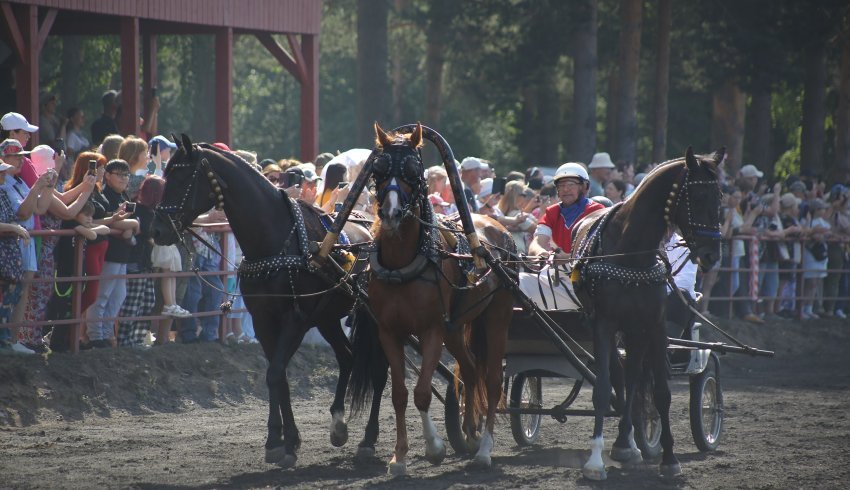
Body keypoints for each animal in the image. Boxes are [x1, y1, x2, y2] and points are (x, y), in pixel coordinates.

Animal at [150, 134, 384, 468]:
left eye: (182, 178)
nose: (157, 229)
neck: (275, 242)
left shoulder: (295, 320)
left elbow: (275, 373)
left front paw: (283, 441)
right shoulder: (263, 320)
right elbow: (277, 375)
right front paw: (281, 440)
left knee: (379, 372)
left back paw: (369, 438)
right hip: (327, 318)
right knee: (348, 357)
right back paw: (338, 425)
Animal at [344, 122, 516, 474]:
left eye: (413, 169)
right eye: (378, 169)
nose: (391, 212)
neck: (403, 264)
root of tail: (499, 230)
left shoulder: (432, 330)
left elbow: (422, 392)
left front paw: (435, 447)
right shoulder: (389, 332)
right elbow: (399, 393)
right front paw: (399, 456)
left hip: (497, 316)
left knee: (492, 380)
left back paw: (484, 449)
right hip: (456, 329)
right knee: (471, 370)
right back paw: (471, 433)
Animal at [568, 147, 724, 480]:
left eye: (719, 196)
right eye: (698, 196)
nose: (711, 255)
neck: (632, 252)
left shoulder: (654, 325)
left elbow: (661, 392)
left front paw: (669, 459)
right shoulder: (603, 323)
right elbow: (603, 388)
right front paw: (595, 460)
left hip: (635, 329)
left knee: (634, 377)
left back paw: (628, 443)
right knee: (623, 377)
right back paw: (624, 444)